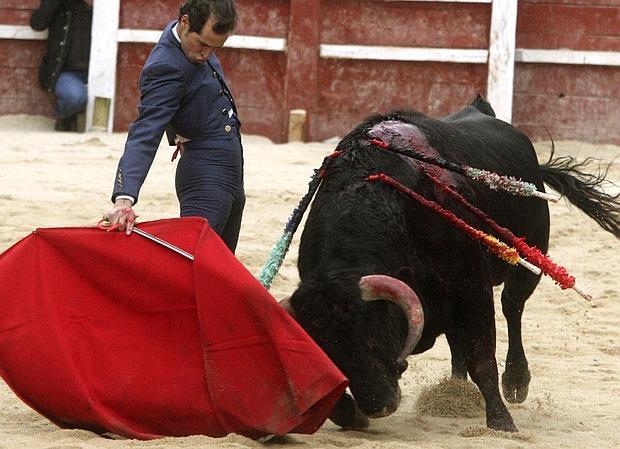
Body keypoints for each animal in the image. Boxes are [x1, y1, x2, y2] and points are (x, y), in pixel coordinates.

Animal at [284, 97, 616, 430]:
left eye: (373, 335)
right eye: (325, 348)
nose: (378, 406)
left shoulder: (471, 287)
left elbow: (482, 357)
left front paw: (501, 422)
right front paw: (348, 413)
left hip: (527, 257)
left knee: (512, 307)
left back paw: (515, 381)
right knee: (459, 340)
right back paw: (456, 391)